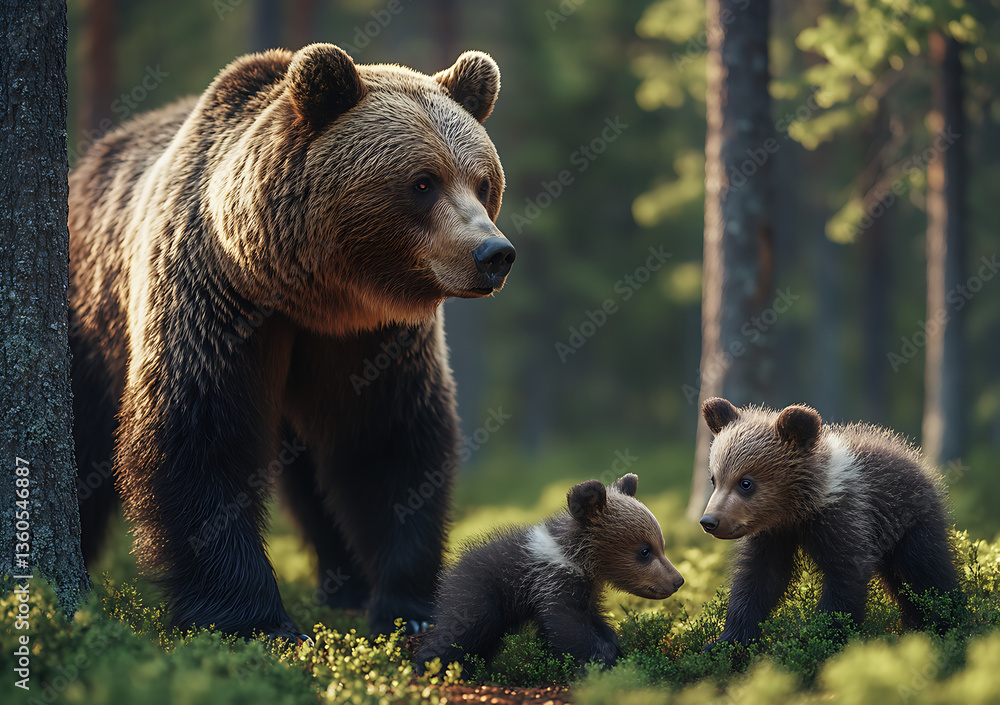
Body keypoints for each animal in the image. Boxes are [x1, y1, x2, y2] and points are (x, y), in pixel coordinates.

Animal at [68, 43, 515, 640]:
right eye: (423, 182)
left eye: (483, 181)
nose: (494, 254)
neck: (310, 293)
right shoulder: (215, 299)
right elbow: (199, 436)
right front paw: (254, 618)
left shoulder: (372, 339)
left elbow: (387, 441)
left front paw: (408, 608)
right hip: (92, 321)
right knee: (85, 439)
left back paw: (345, 584)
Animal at [415, 473, 684, 672]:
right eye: (645, 551)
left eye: (662, 545)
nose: (678, 580)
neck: (576, 560)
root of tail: (450, 571)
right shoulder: (552, 583)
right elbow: (566, 625)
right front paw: (603, 659)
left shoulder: (584, 591)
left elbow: (593, 621)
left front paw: (615, 647)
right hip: (479, 597)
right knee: (459, 632)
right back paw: (435, 667)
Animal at [698, 397, 961, 646]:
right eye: (714, 479)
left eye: (745, 482)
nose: (709, 521)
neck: (797, 510)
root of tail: (915, 459)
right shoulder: (773, 534)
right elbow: (760, 577)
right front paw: (727, 641)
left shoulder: (844, 517)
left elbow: (845, 576)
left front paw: (820, 634)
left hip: (909, 523)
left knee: (926, 569)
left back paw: (946, 619)